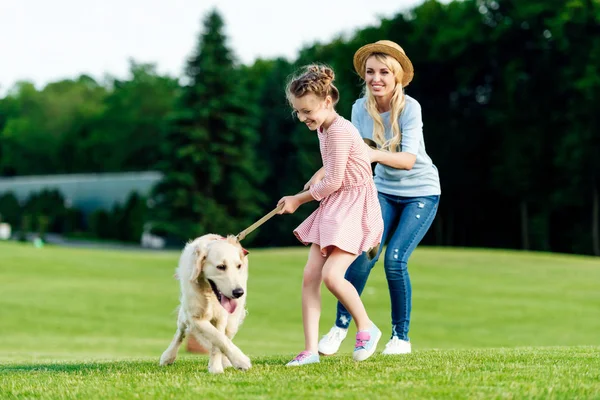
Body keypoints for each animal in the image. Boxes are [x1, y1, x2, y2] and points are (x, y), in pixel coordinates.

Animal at [159, 233, 251, 374]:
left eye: (238, 266)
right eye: (221, 267)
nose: (239, 292)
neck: (208, 292)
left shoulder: (221, 316)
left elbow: (219, 339)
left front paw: (216, 366)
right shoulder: (195, 317)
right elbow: (217, 337)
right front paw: (240, 360)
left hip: (233, 321)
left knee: (227, 335)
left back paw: (225, 361)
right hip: (185, 315)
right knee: (180, 332)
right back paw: (168, 356)